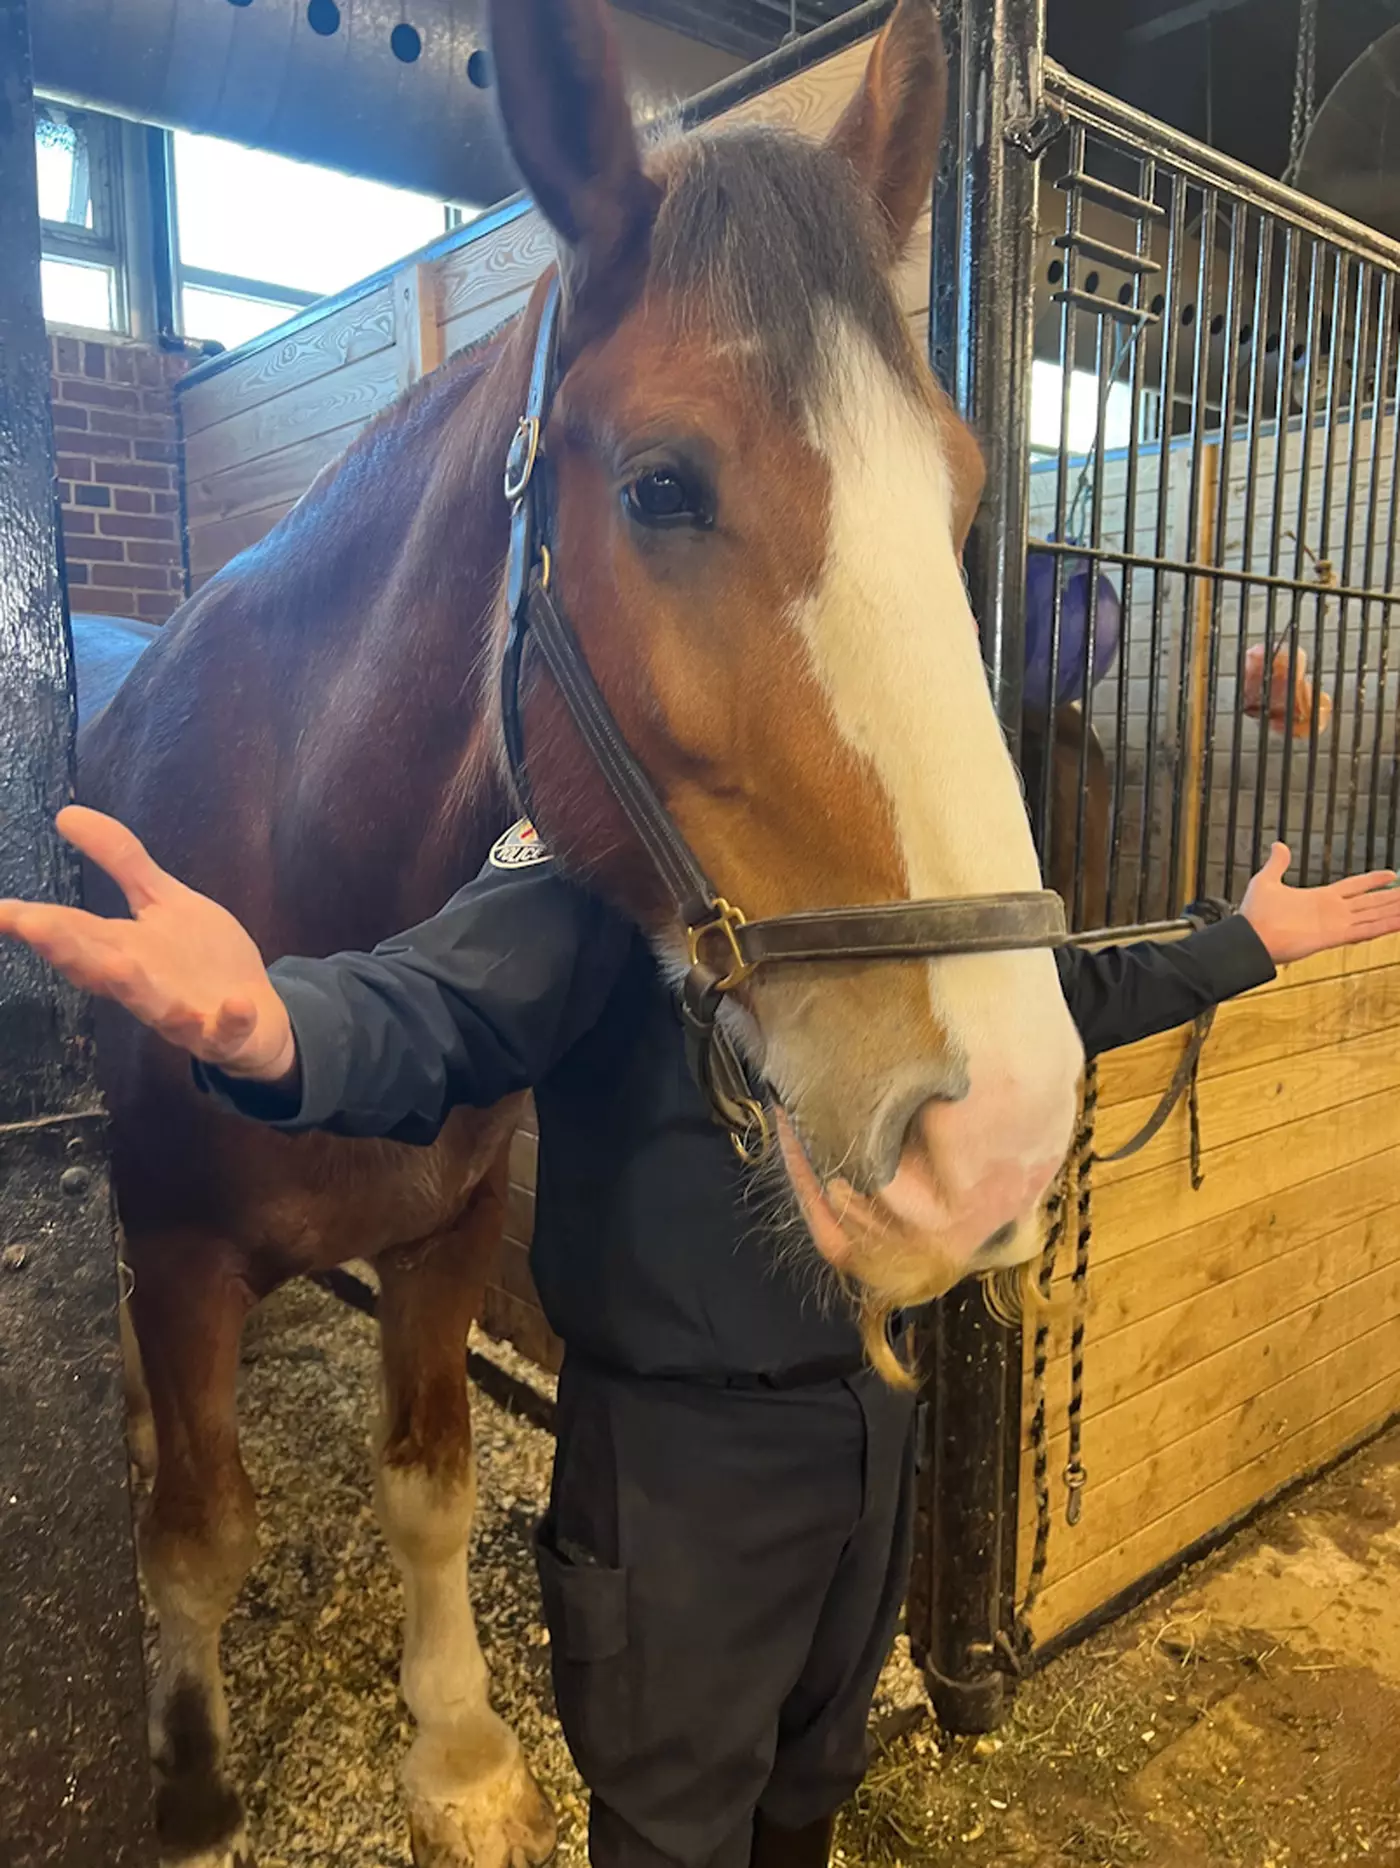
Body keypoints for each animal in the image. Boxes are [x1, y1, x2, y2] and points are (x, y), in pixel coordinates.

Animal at [72, 1, 1084, 1861]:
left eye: (966, 492)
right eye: (665, 486)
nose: (999, 1135)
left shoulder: (448, 1225)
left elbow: (426, 1481)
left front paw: (462, 1752)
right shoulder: (176, 1248)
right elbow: (198, 1529)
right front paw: (186, 1778)